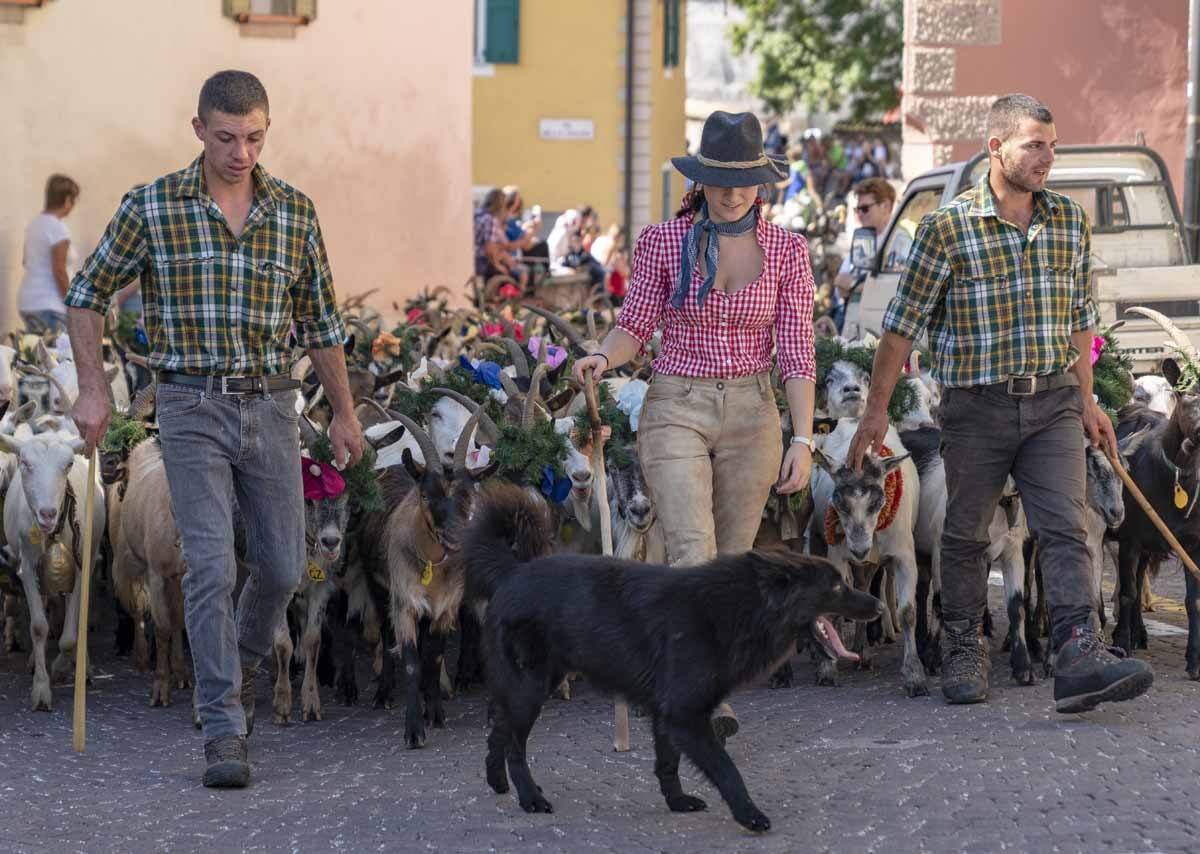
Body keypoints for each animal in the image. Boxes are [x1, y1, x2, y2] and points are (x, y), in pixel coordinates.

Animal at [463, 484, 888, 830]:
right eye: (836, 586)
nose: (881, 607)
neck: (740, 608)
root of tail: (512, 573)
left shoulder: (666, 713)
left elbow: (667, 764)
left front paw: (677, 801)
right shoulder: (686, 715)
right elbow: (726, 769)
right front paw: (749, 814)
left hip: (533, 685)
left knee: (499, 733)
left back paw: (497, 783)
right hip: (530, 687)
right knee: (514, 745)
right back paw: (530, 797)